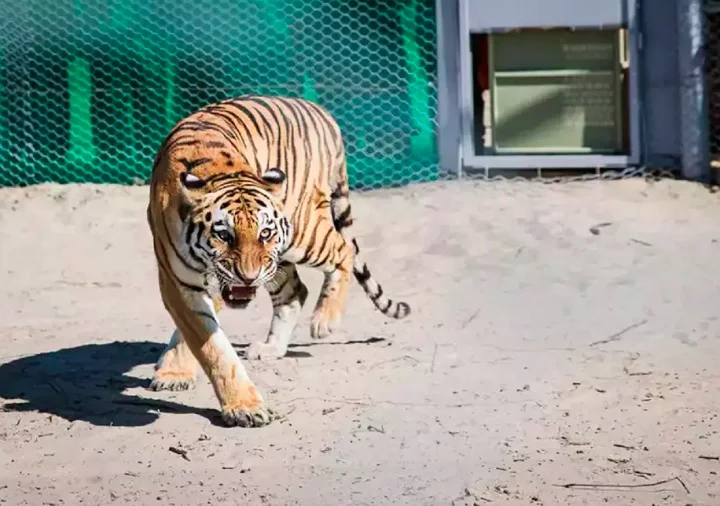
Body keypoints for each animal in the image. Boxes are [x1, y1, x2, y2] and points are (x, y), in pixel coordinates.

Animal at [146, 94, 411, 427]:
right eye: (224, 235)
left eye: (265, 232)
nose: (248, 277)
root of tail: (321, 111)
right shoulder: (179, 281)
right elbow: (208, 344)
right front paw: (179, 374)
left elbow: (207, 345)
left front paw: (244, 407)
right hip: (278, 260)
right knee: (295, 291)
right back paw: (272, 347)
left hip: (302, 234)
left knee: (343, 250)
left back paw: (324, 321)